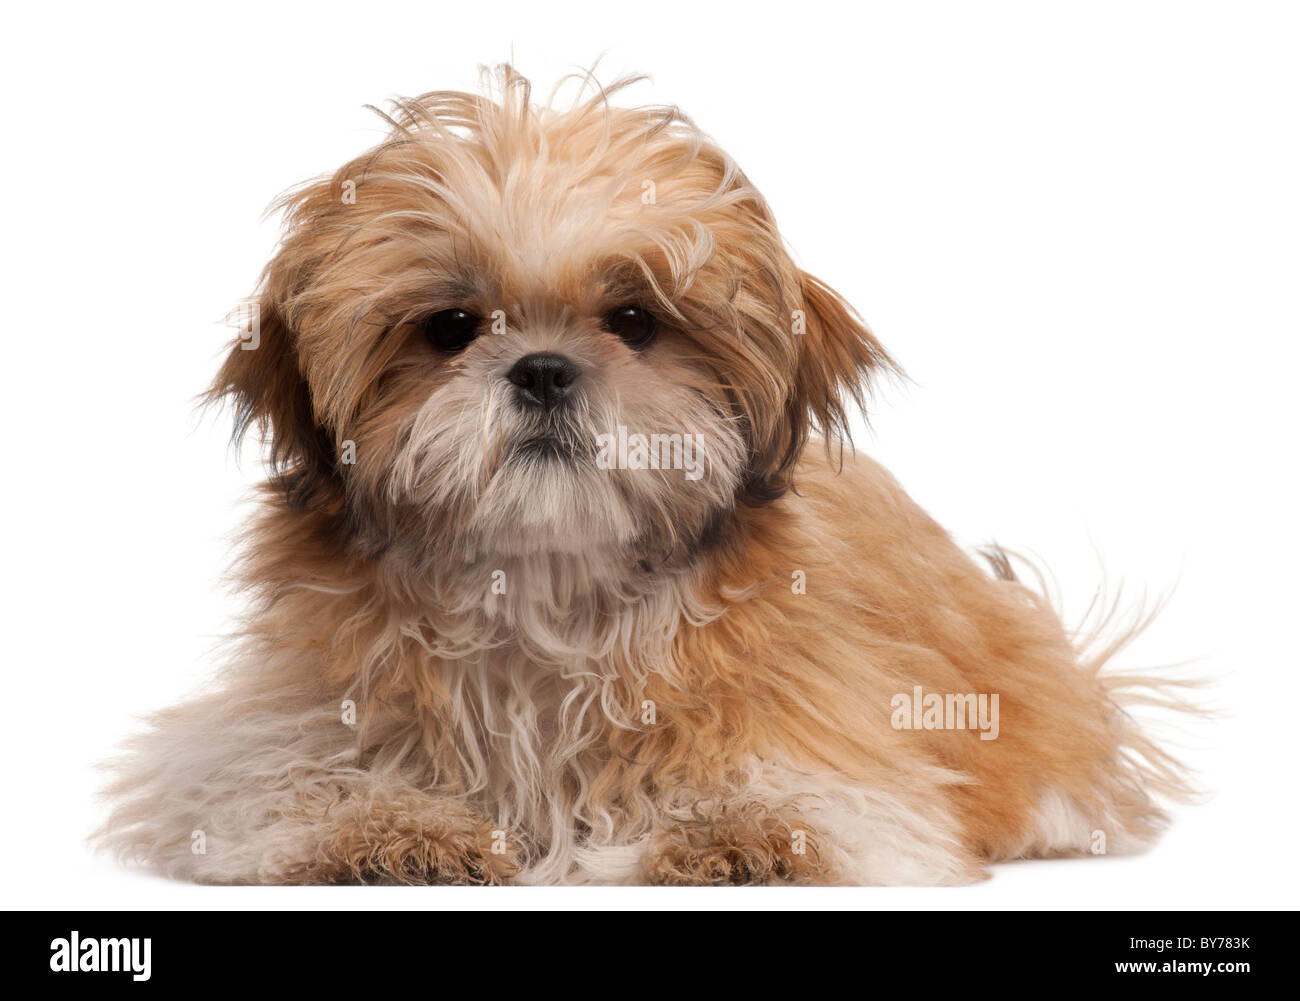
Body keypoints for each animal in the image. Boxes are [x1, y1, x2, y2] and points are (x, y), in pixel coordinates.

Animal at [101, 68, 1190, 883]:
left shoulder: (843, 743)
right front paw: (390, 827)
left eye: (633, 321)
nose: (543, 369)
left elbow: (817, 800)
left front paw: (736, 829)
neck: (542, 584)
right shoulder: (261, 730)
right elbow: (279, 776)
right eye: (450, 328)